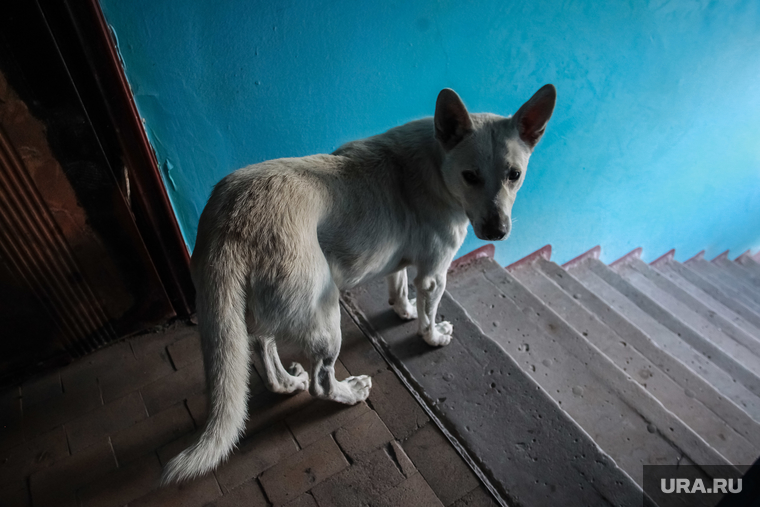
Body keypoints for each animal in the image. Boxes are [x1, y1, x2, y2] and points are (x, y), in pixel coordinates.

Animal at [163, 85, 556, 482]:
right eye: (470, 176)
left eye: (514, 174)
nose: (497, 231)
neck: (436, 161)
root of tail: (229, 224)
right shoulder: (434, 275)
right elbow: (428, 317)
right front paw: (432, 336)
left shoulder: (399, 259)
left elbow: (399, 286)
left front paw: (403, 309)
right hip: (324, 317)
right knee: (321, 383)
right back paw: (349, 392)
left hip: (263, 309)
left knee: (264, 349)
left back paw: (288, 382)